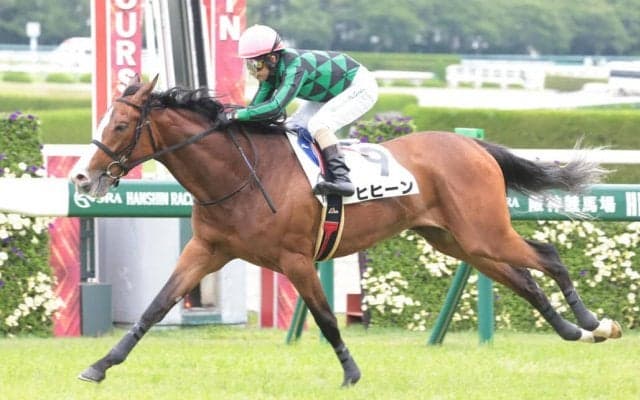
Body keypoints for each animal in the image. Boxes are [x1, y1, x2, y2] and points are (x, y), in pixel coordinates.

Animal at [71, 75, 622, 387]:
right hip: (459, 242)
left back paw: (595, 322)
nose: (81, 177)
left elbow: (326, 319)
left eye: (120, 126)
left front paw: (352, 374)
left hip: (485, 233)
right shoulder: (206, 250)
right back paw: (574, 330)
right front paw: (100, 365)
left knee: (548, 256)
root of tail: (474, 146)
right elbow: (154, 308)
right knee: (525, 280)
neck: (239, 174)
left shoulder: (295, 260)